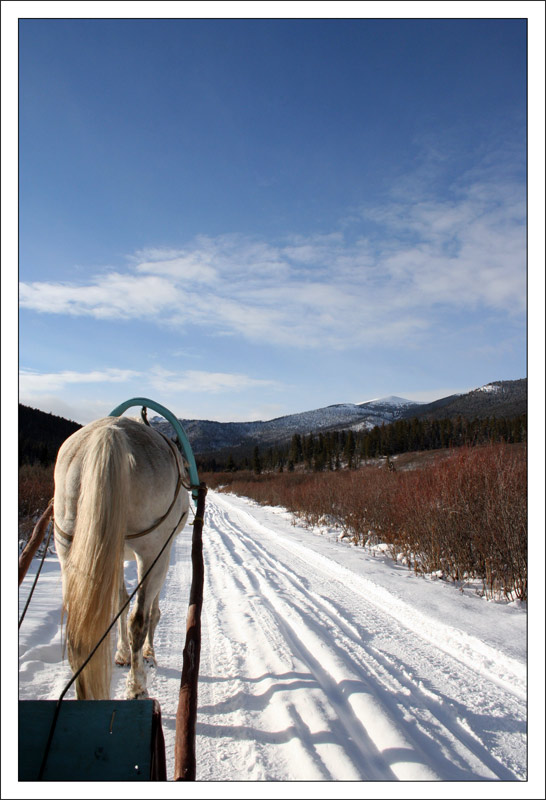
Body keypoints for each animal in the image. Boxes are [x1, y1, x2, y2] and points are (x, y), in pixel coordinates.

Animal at [53, 416, 189, 696]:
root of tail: (110, 433)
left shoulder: (111, 555)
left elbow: (119, 604)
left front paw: (122, 655)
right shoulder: (163, 549)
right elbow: (148, 610)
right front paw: (147, 654)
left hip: (67, 547)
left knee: (77, 633)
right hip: (151, 549)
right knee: (139, 619)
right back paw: (137, 687)